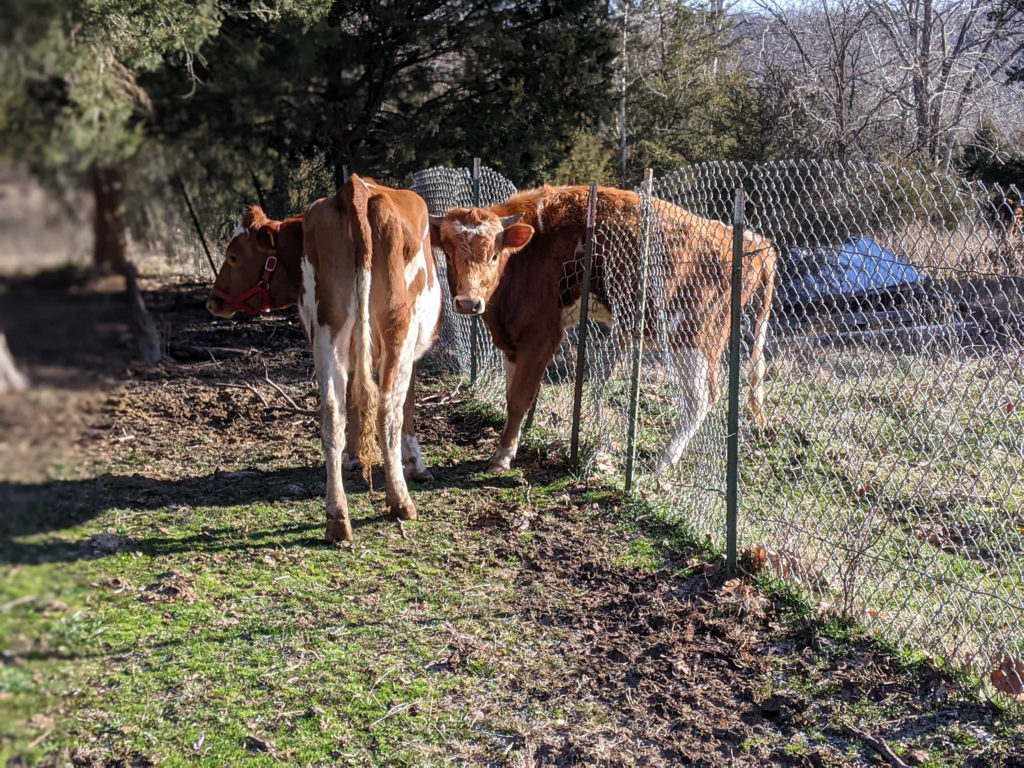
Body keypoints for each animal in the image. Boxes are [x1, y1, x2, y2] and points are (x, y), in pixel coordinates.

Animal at [208, 177, 444, 544]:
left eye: (233, 256)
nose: (213, 301)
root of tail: (355, 188)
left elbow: (352, 402)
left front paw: (353, 457)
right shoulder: (414, 349)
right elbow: (406, 408)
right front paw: (417, 465)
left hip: (327, 331)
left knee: (331, 414)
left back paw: (337, 518)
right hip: (398, 330)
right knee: (387, 409)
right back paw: (400, 502)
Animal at [430, 187, 774, 475]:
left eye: (492, 254)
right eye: (448, 253)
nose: (468, 302)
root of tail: (755, 243)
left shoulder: (540, 336)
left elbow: (519, 398)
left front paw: (502, 456)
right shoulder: (512, 339)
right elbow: (510, 393)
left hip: (694, 338)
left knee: (700, 398)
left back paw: (663, 461)